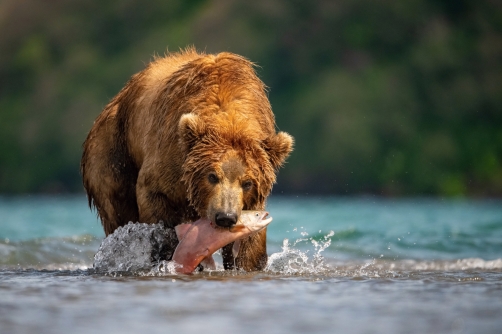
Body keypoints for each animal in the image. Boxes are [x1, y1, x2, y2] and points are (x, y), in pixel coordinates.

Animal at [81, 47, 294, 272]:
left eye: (248, 183)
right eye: (212, 176)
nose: (225, 217)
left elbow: (250, 245)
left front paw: (245, 263)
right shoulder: (170, 160)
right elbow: (157, 206)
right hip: (112, 151)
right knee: (118, 209)